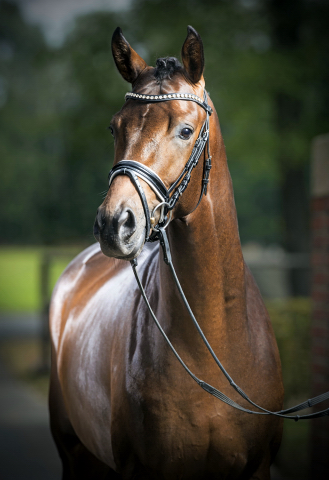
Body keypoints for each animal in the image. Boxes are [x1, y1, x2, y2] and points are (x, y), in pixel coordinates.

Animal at [49, 27, 284, 480]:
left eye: (186, 131)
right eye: (114, 128)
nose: (114, 224)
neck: (212, 340)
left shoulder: (258, 466)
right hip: (73, 454)